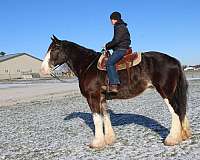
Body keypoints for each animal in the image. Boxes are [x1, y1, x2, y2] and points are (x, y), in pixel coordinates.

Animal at [40, 35, 191, 149]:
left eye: (54, 49)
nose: (42, 70)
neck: (87, 66)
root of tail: (173, 60)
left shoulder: (93, 97)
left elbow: (96, 118)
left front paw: (97, 143)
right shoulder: (101, 98)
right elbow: (105, 116)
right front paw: (109, 139)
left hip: (166, 92)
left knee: (175, 111)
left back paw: (171, 139)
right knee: (181, 111)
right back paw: (183, 135)